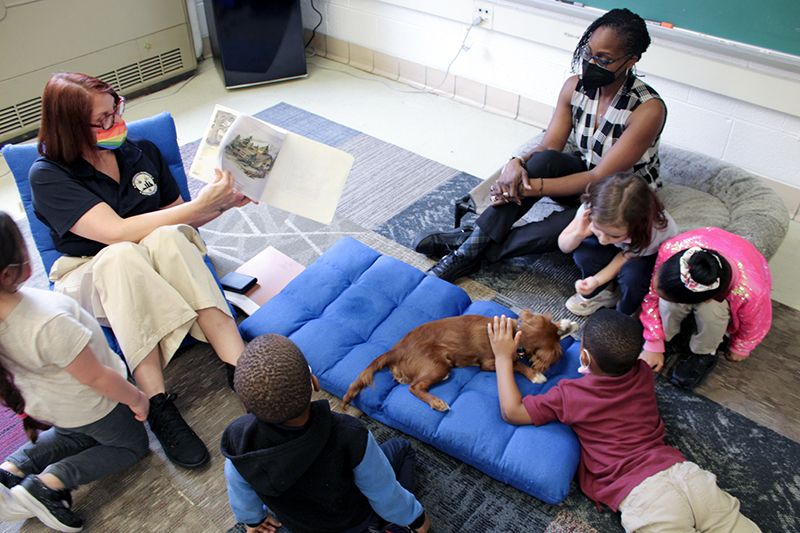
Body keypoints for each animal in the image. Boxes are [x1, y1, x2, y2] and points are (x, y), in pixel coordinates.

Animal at [340, 308, 572, 412]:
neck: (516, 332)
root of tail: (396, 349)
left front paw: (566, 325)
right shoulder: (489, 362)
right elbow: (515, 364)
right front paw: (535, 375)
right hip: (438, 366)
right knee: (414, 387)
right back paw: (437, 402)